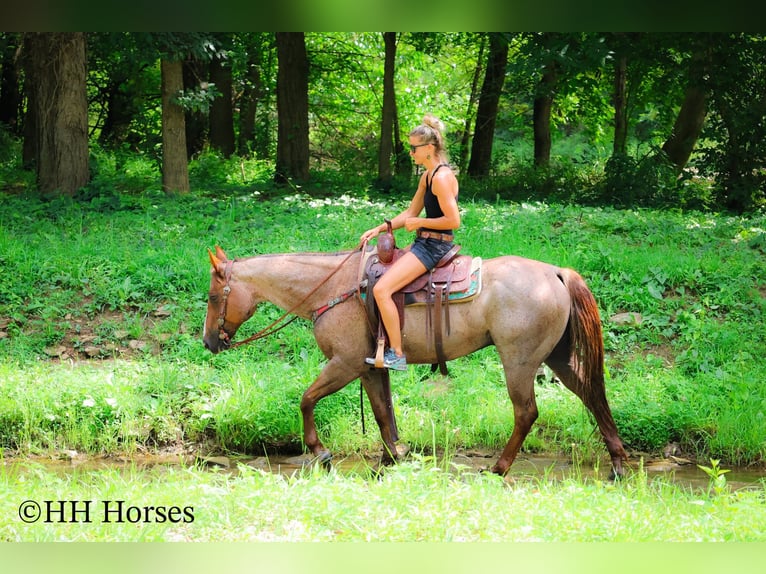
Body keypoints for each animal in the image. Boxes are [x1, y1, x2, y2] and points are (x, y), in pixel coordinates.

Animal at [203, 244, 628, 478]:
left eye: (212, 296)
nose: (208, 342)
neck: (332, 288)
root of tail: (556, 273)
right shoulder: (369, 368)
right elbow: (382, 413)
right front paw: (393, 456)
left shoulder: (345, 364)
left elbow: (306, 399)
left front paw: (320, 451)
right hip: (556, 357)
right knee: (592, 395)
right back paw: (619, 463)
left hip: (519, 361)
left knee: (526, 412)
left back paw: (498, 468)